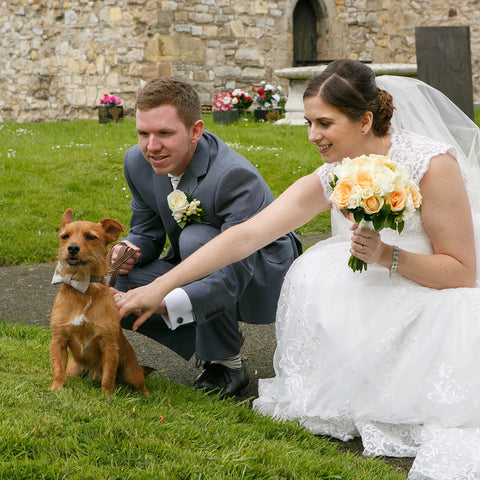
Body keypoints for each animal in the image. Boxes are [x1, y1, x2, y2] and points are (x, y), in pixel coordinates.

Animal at [49, 208, 148, 396]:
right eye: (65, 236)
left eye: (90, 237)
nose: (72, 248)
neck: (83, 288)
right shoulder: (58, 339)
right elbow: (58, 368)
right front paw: (56, 388)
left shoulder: (108, 346)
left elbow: (108, 376)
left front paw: (107, 396)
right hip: (74, 369)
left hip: (132, 372)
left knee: (141, 385)